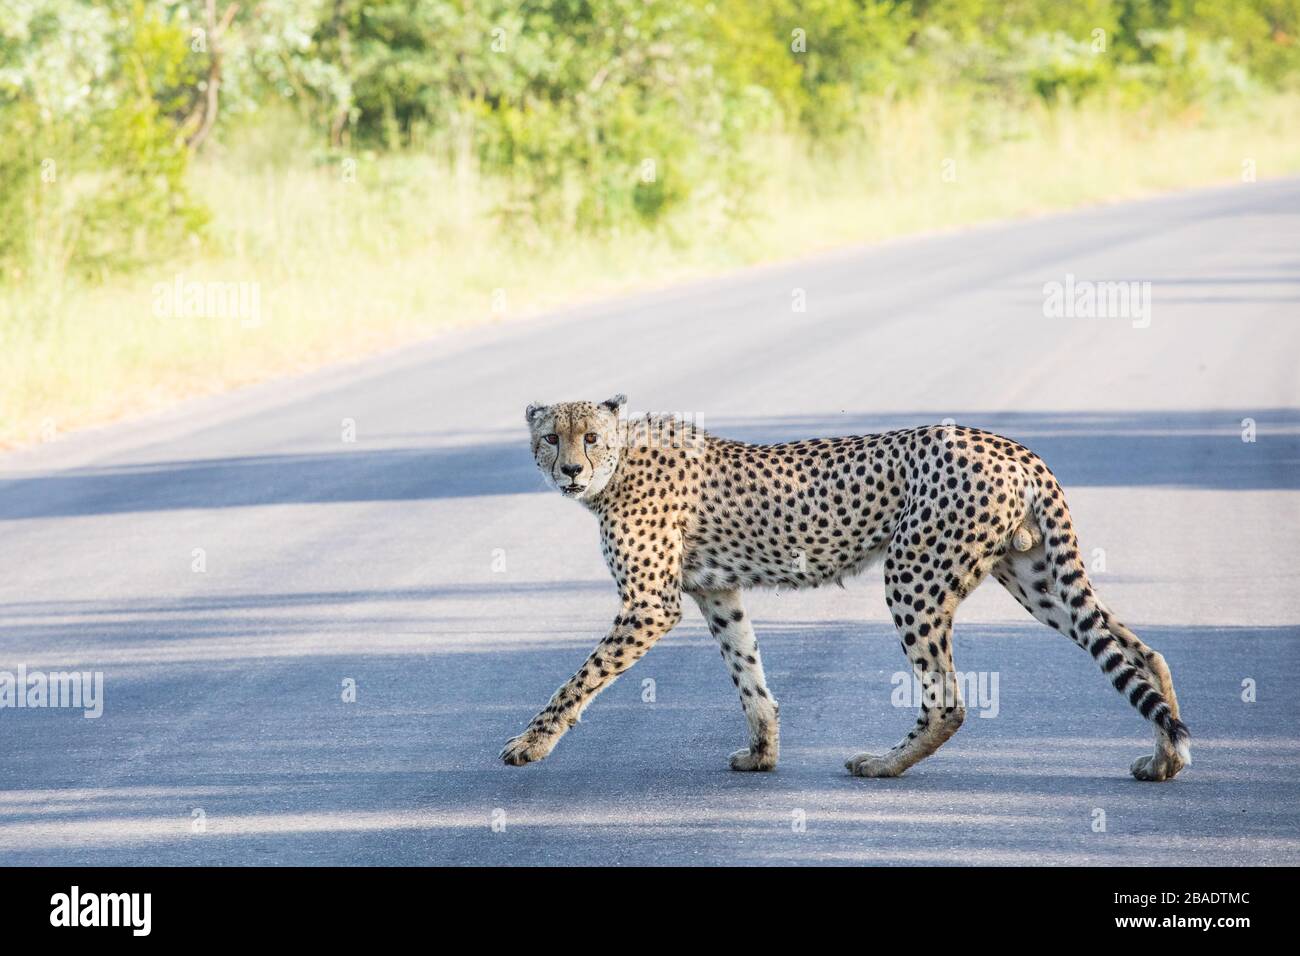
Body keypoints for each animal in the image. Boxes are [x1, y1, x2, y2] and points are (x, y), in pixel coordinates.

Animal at [500, 395, 1190, 781]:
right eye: (550, 437)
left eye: (590, 437)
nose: (570, 469)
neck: (618, 465)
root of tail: (1012, 446)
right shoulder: (716, 594)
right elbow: (749, 675)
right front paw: (763, 754)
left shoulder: (650, 606)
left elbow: (579, 680)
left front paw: (531, 742)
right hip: (1034, 576)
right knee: (1137, 650)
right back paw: (1164, 758)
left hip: (913, 573)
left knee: (949, 700)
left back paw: (882, 765)